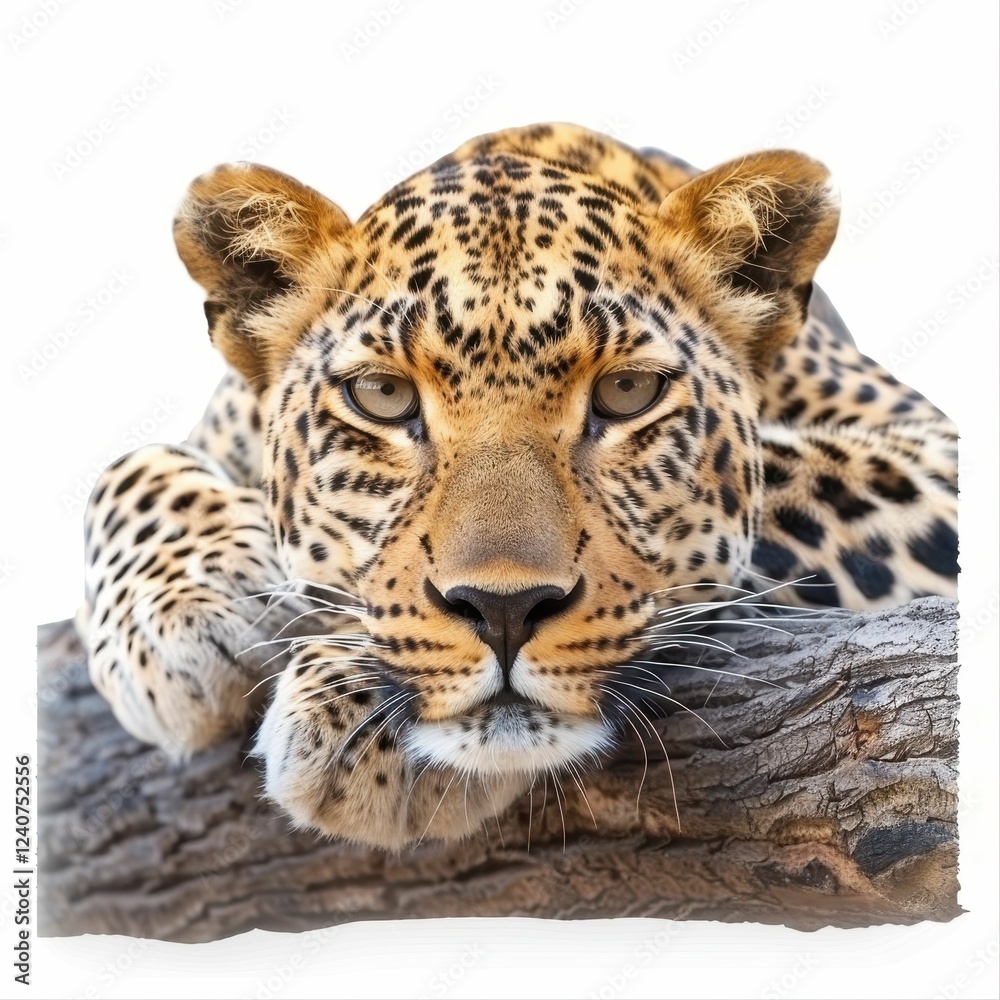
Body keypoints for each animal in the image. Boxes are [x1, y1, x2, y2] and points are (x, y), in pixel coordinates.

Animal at [77, 123, 959, 851]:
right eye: (383, 397)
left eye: (628, 393)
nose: (503, 611)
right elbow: (124, 469)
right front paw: (182, 621)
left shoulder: (936, 458)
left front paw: (355, 707)